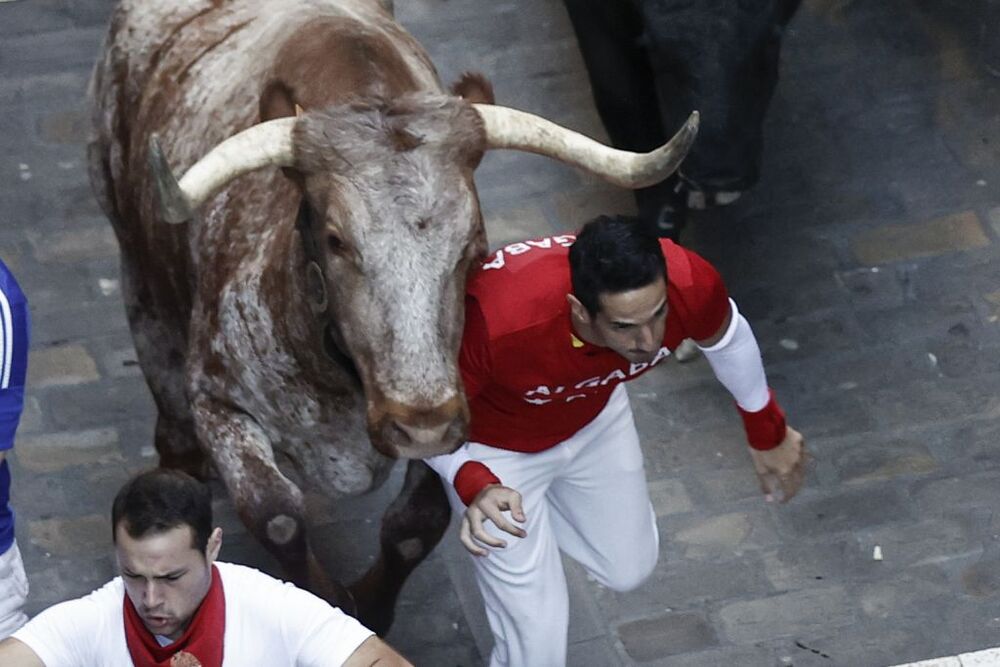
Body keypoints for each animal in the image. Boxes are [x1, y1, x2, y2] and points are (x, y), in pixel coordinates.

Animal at [84, 0, 696, 636]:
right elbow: (278, 515)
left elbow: (417, 520)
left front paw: (371, 609)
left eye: (473, 245)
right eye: (335, 240)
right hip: (135, 266)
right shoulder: (218, 399)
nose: (419, 423)